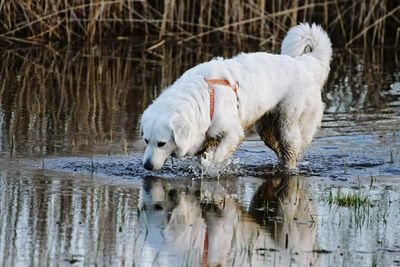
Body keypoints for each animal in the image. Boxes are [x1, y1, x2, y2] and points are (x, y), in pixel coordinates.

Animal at [141, 22, 332, 171]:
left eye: (161, 143)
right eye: (146, 140)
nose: (147, 166)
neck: (204, 98)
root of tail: (305, 63)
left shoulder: (233, 132)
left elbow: (219, 156)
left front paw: (215, 170)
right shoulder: (205, 138)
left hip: (288, 123)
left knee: (291, 150)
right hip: (266, 128)